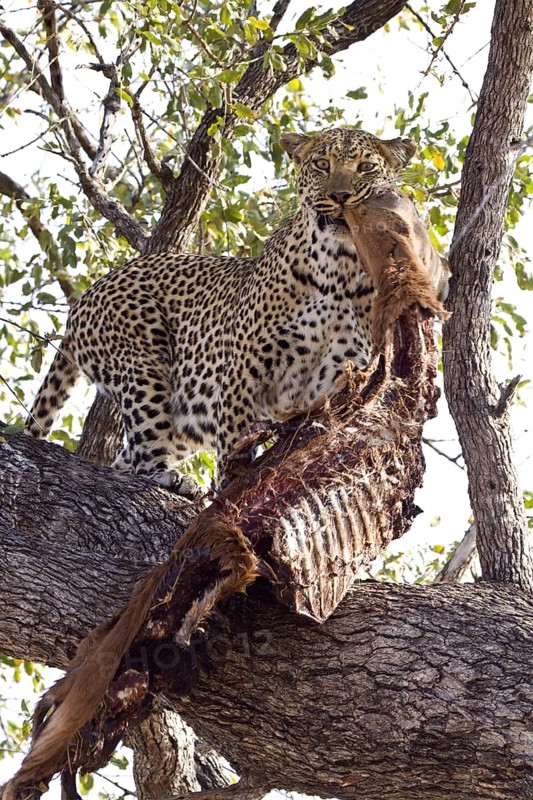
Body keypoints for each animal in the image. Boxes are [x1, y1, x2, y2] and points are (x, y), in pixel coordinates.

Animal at [26, 126, 446, 496]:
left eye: (366, 167)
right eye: (321, 164)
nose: (341, 195)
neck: (339, 270)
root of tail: (85, 297)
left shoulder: (332, 381)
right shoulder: (244, 369)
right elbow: (234, 444)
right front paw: (230, 490)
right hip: (142, 363)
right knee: (145, 445)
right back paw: (168, 479)